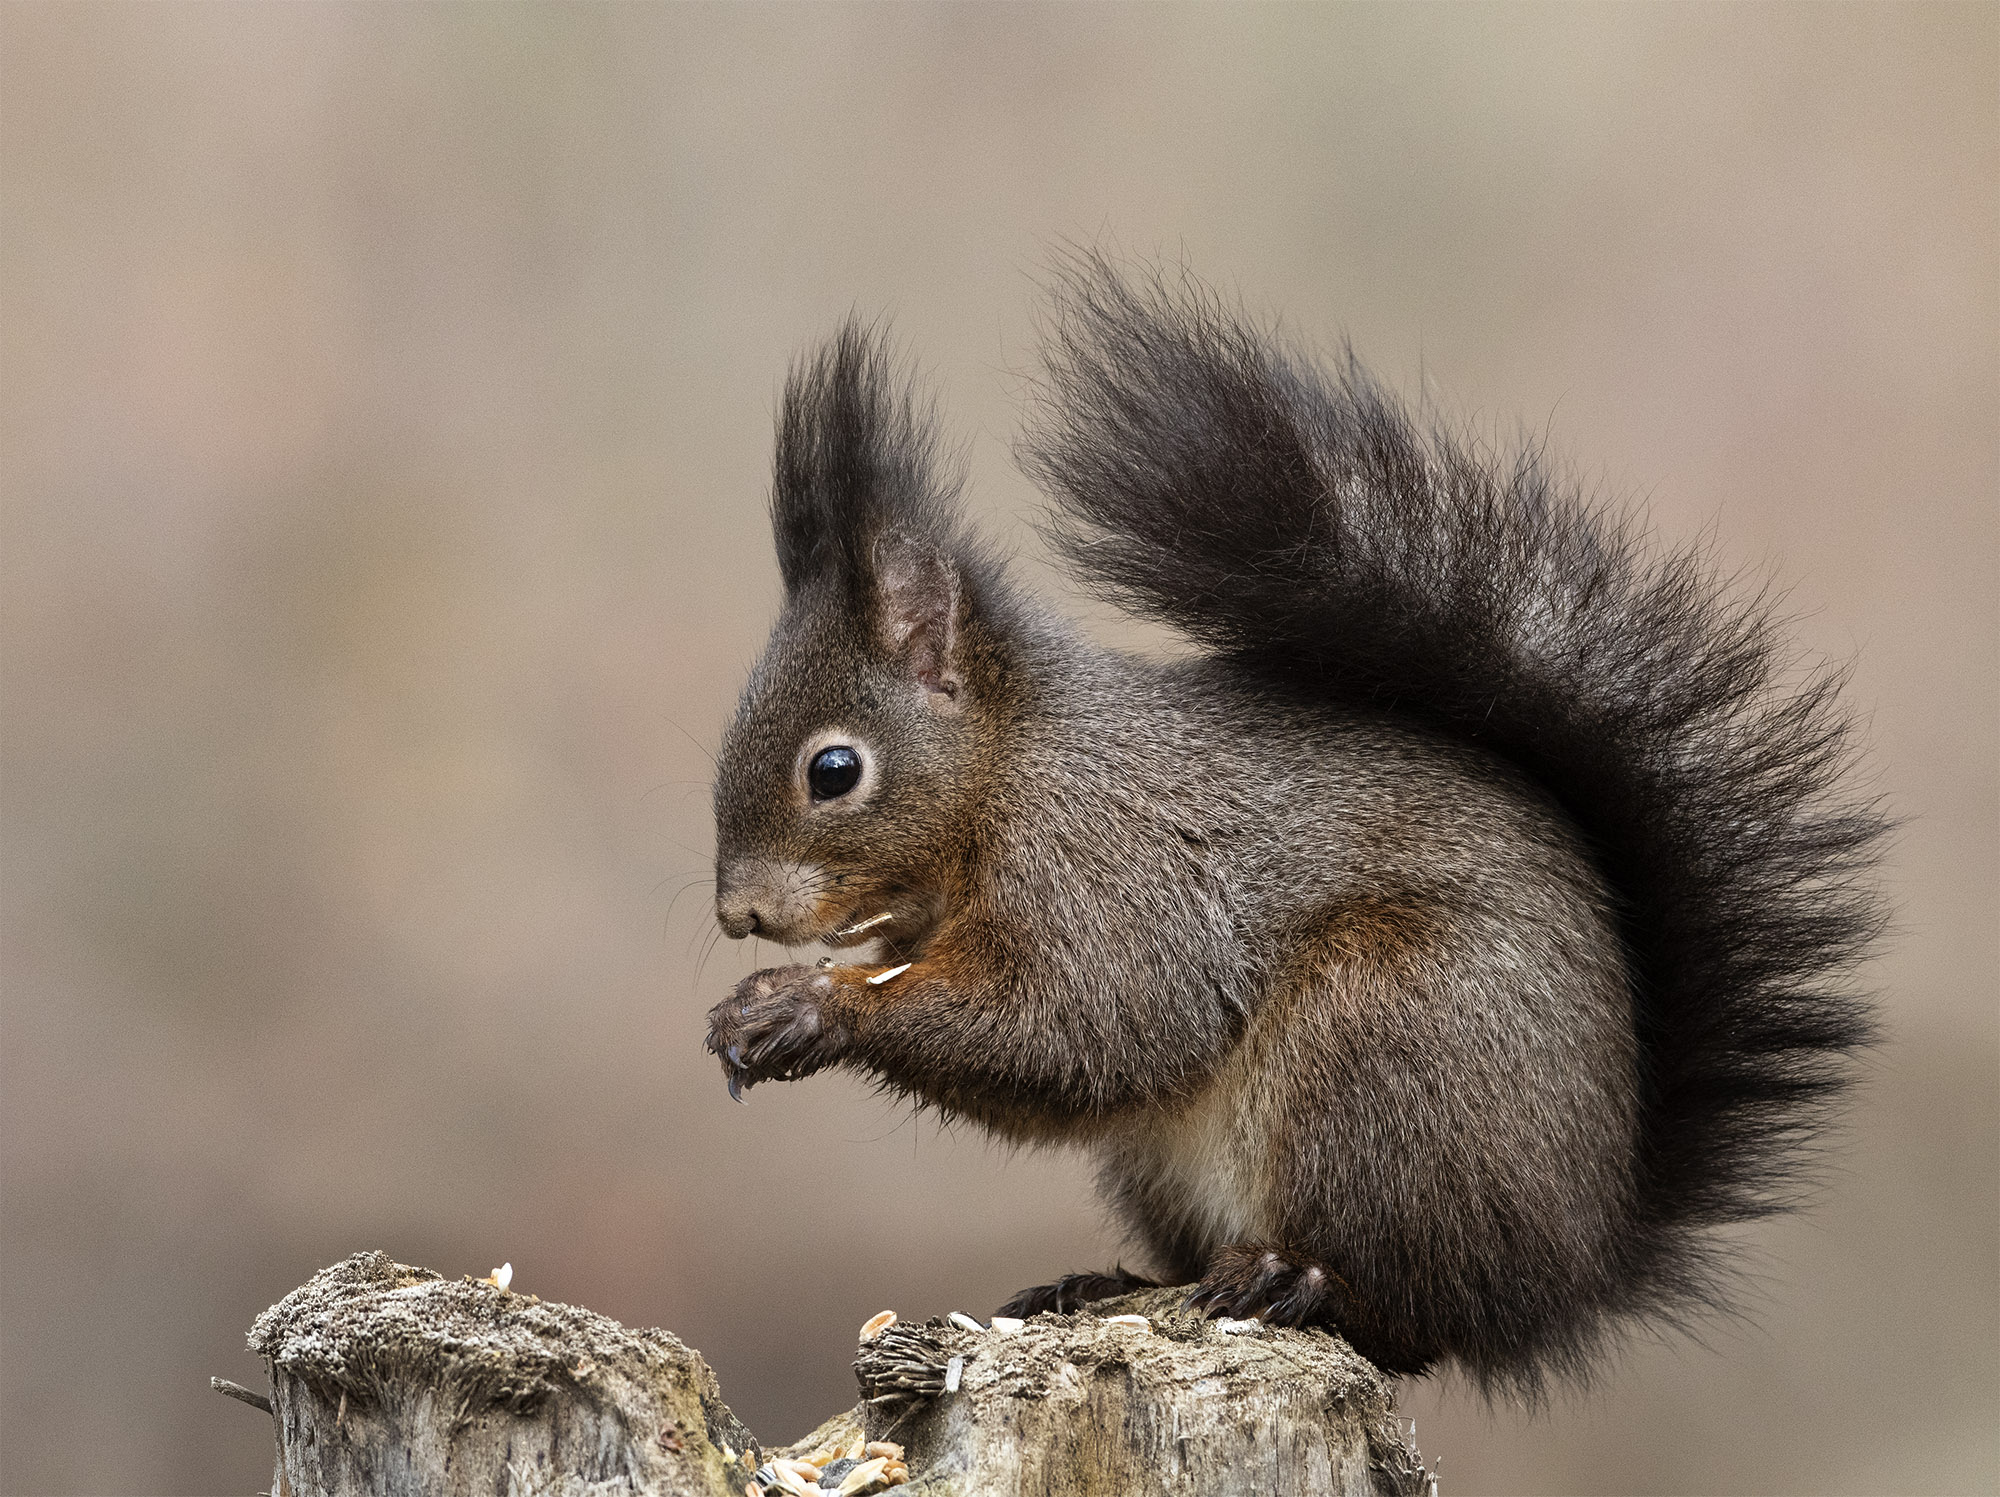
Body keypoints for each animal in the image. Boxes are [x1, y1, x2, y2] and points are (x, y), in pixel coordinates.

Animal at [701, 258, 1885, 1394]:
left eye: (835, 770)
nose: (737, 913)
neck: (1009, 767)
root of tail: (1573, 1271)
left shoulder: (1107, 864)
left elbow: (1088, 1023)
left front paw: (812, 1007)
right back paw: (1111, 1284)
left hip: (1381, 1045)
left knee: (1408, 1318)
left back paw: (1297, 1280)